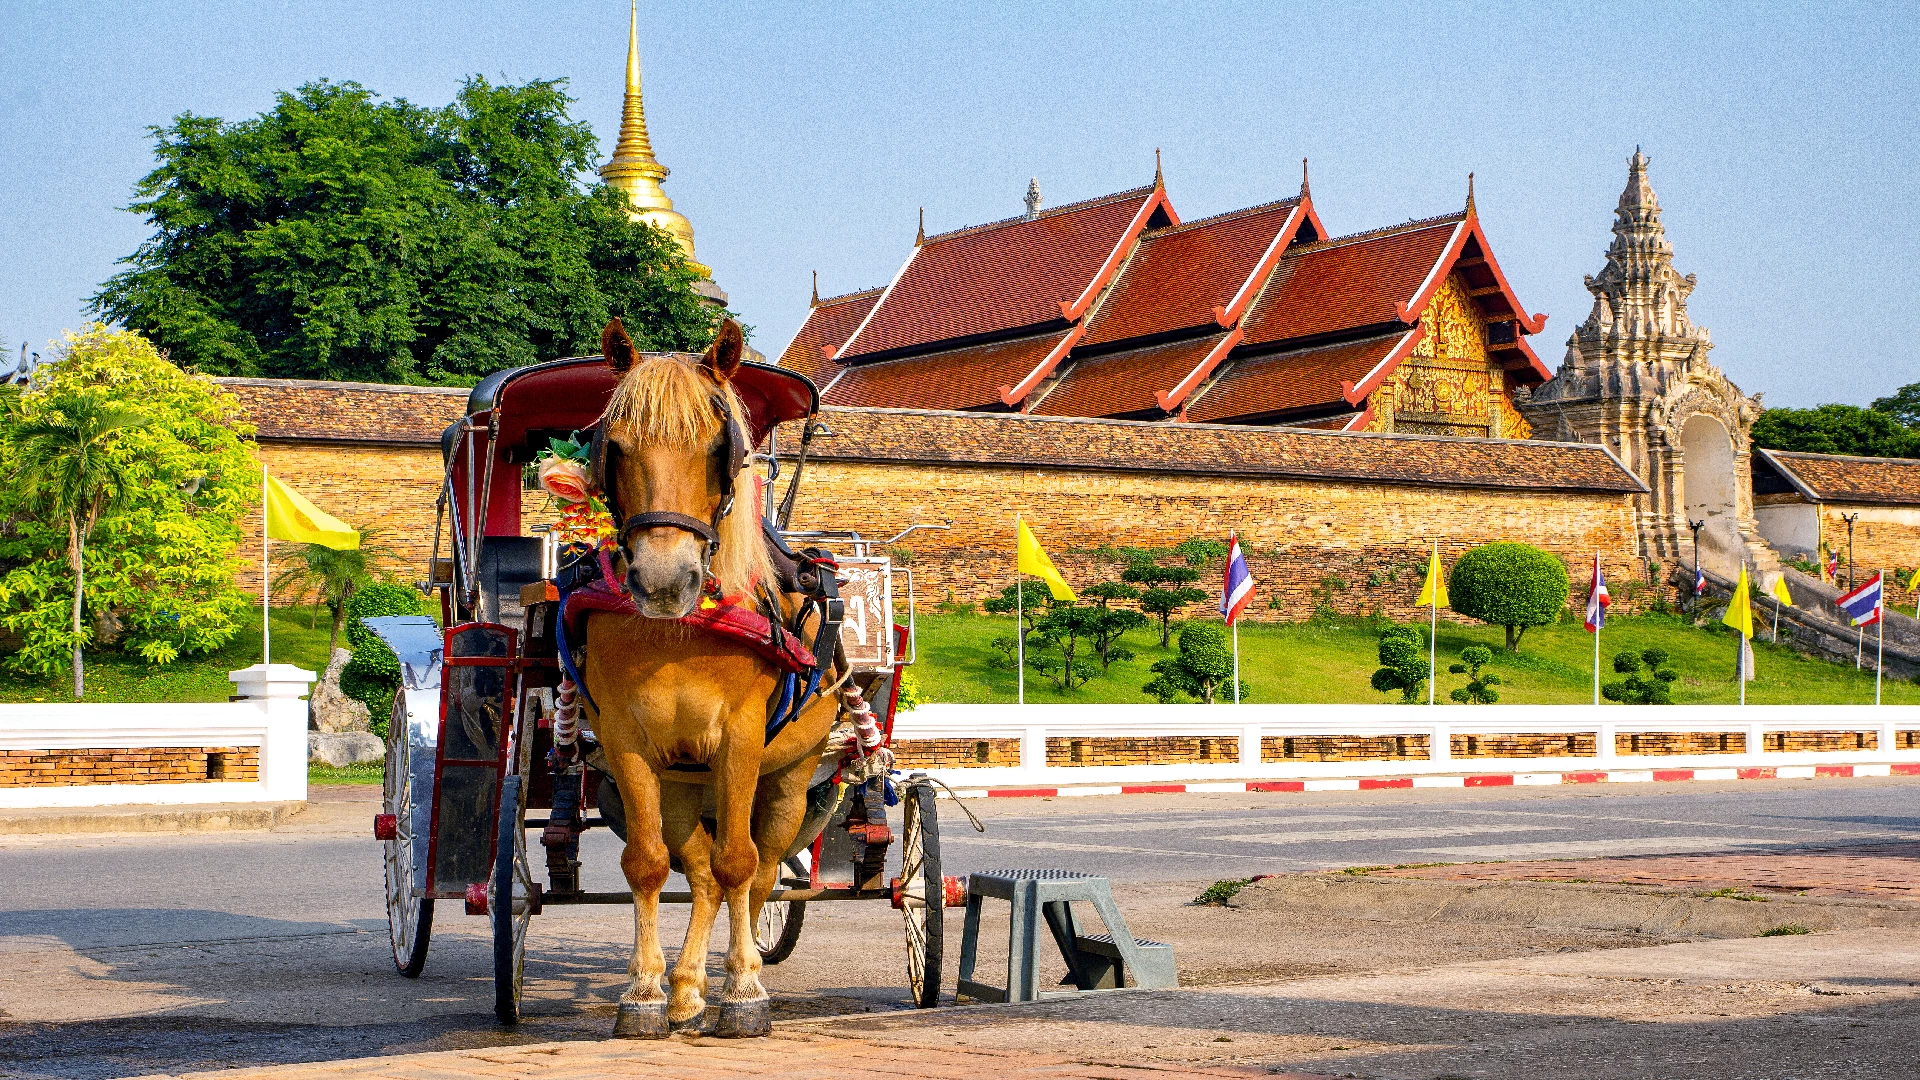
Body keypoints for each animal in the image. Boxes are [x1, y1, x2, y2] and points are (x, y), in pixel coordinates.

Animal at [579, 317, 844, 1037]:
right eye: (614, 446)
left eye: (717, 448)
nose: (664, 580)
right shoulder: (626, 739)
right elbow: (648, 864)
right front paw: (645, 989)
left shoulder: (742, 738)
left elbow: (740, 864)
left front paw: (745, 990)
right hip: (680, 784)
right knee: (697, 871)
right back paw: (687, 986)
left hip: (791, 774)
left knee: (759, 870)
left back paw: (737, 970)